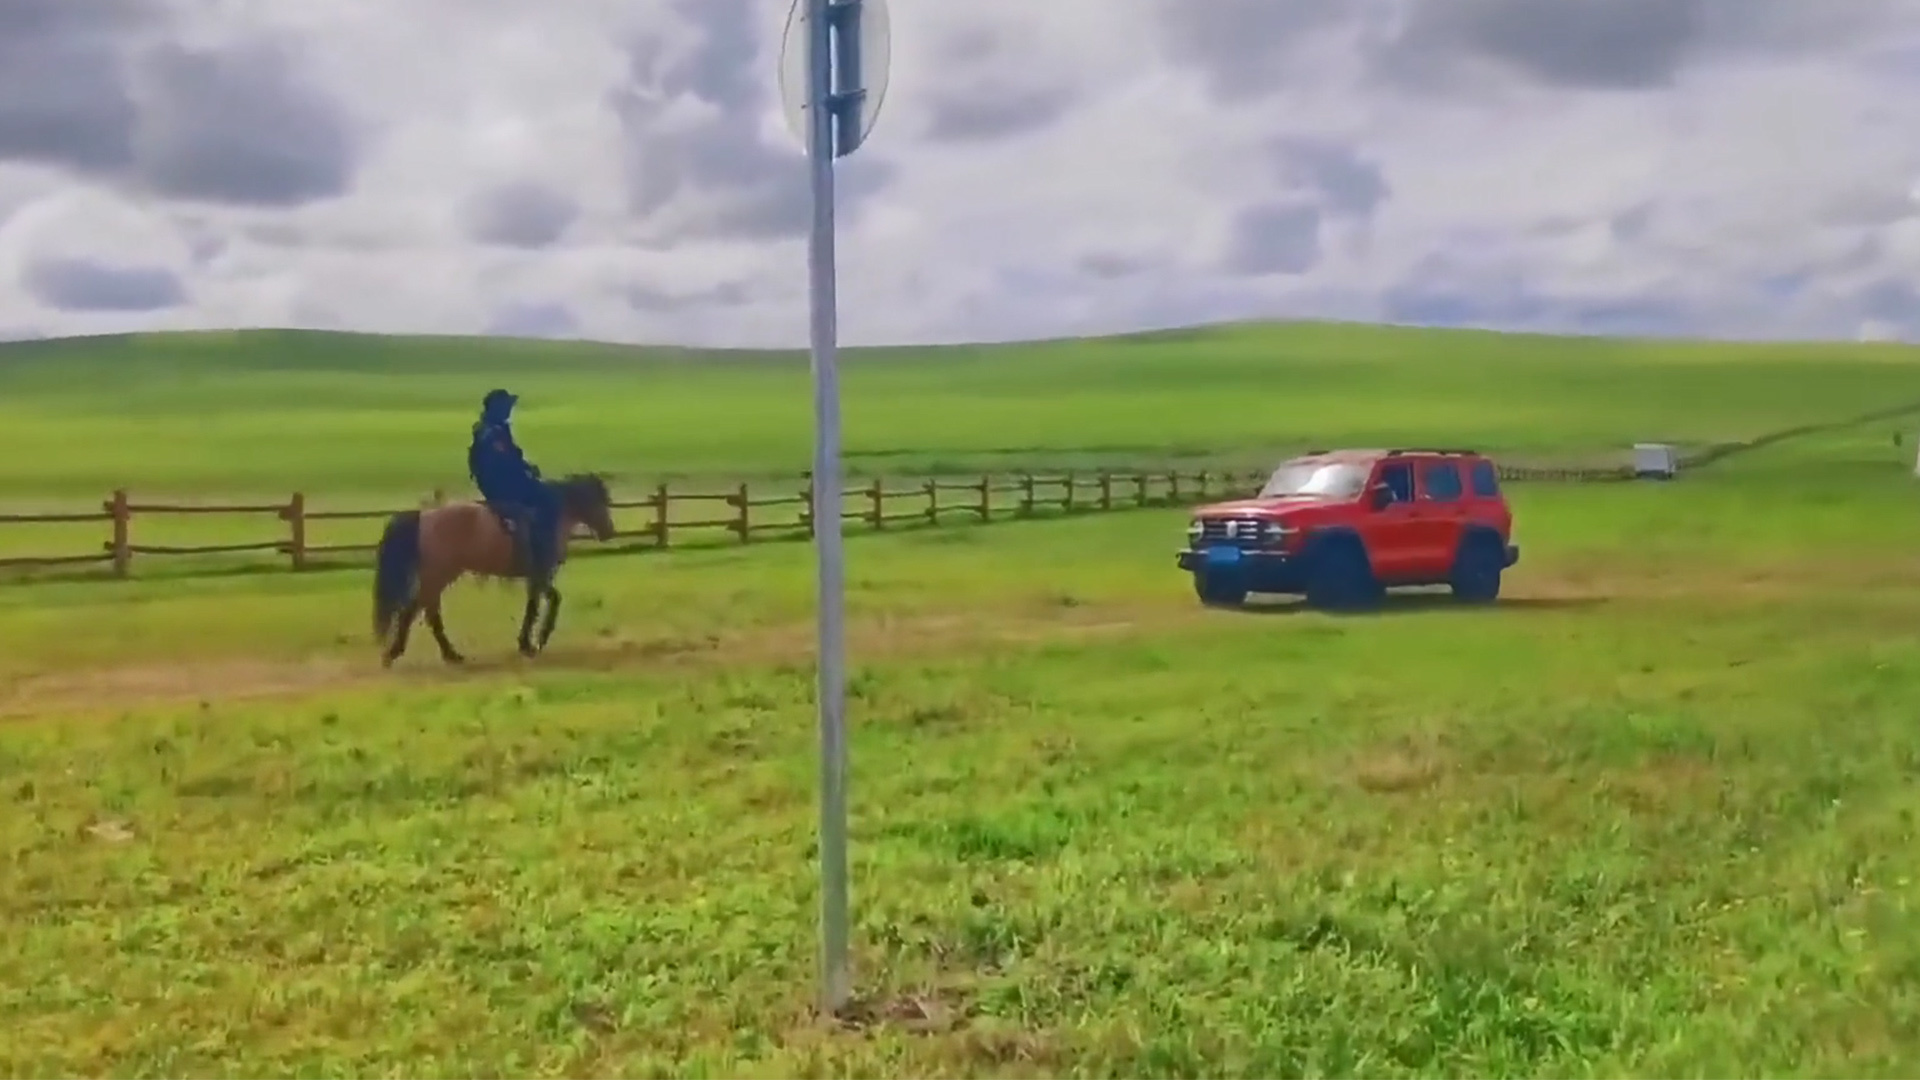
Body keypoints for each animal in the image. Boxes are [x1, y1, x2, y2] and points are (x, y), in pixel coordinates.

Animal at [370, 472, 618, 664]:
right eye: (598, 501)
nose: (609, 531)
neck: (550, 514)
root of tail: (424, 517)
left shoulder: (535, 578)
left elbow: (534, 606)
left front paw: (527, 643)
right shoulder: (541, 574)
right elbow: (551, 601)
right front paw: (538, 641)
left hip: (437, 575)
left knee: (422, 609)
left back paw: (436, 654)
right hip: (439, 574)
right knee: (421, 611)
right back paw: (424, 653)